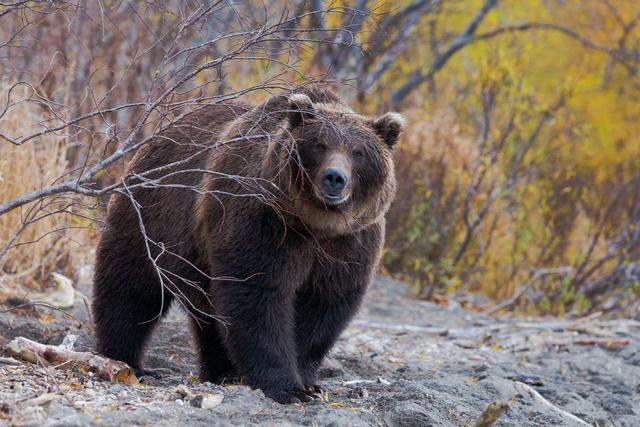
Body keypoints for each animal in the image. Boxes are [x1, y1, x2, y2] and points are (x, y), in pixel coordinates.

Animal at [92, 88, 402, 404]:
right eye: (320, 144)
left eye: (358, 151)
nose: (335, 178)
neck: (315, 224)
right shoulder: (263, 223)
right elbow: (257, 297)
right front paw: (286, 387)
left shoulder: (349, 245)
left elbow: (324, 306)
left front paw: (307, 382)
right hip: (151, 217)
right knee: (132, 288)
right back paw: (127, 361)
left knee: (209, 317)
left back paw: (222, 372)